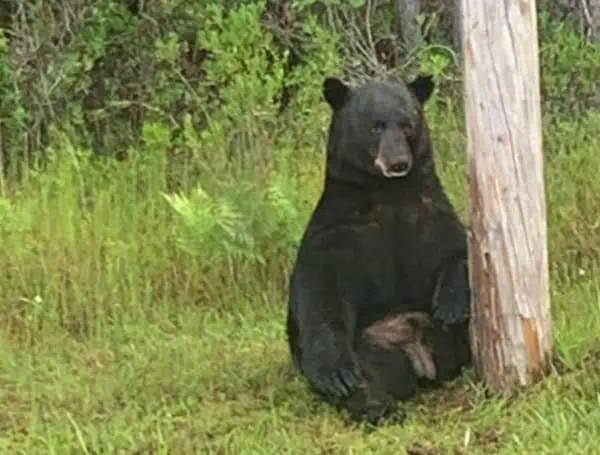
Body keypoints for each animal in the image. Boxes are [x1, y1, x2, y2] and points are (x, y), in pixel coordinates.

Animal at [288, 73, 474, 426]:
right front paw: (334, 374)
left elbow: (460, 249)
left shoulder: (430, 212)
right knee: (365, 376)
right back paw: (376, 404)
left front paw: (450, 304)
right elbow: (322, 290)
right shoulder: (340, 230)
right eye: (375, 126)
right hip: (370, 346)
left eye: (407, 124)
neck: (389, 192)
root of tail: (419, 355)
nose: (398, 162)